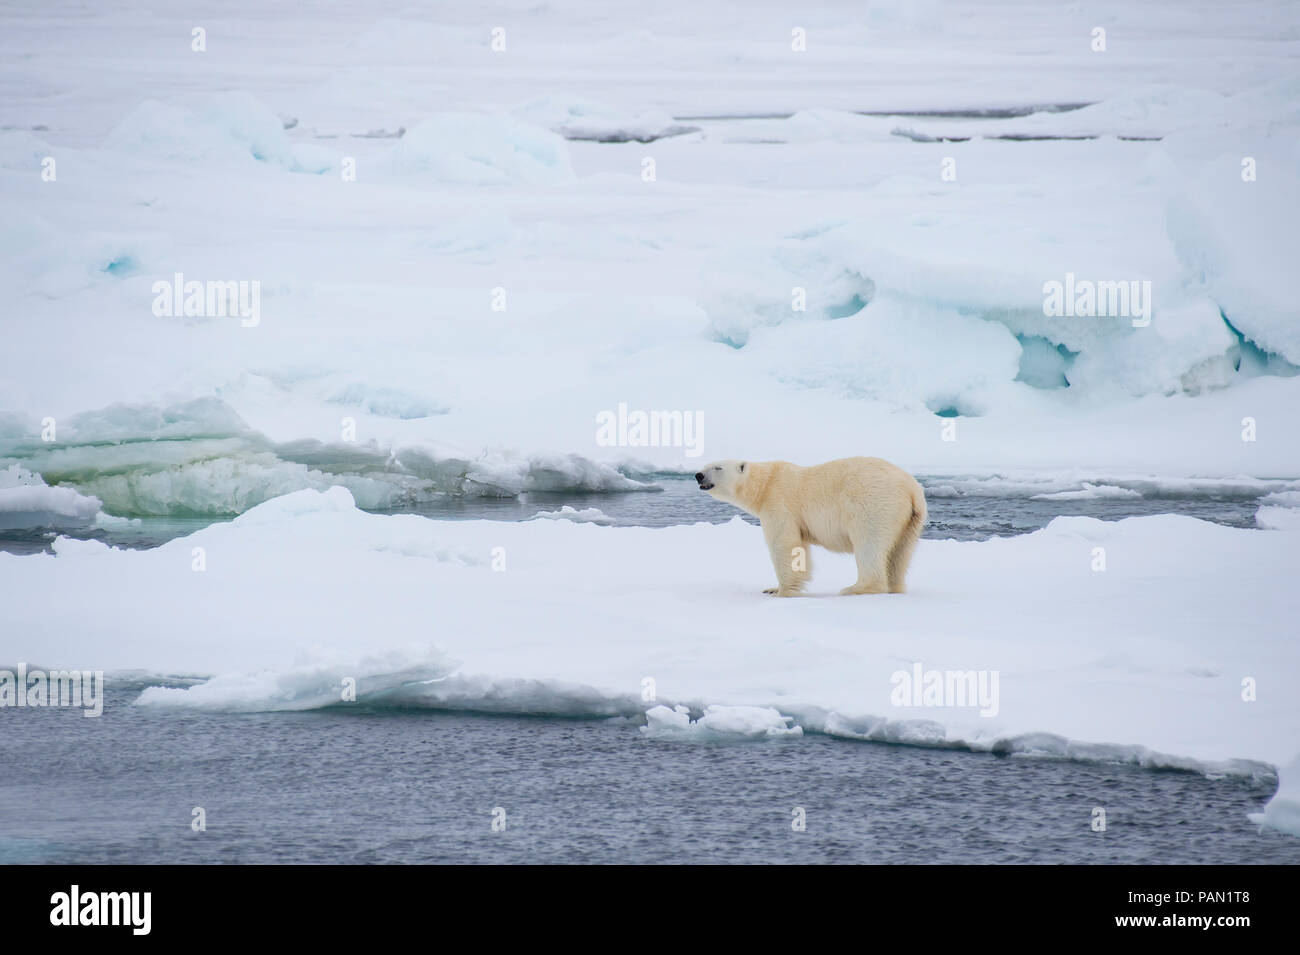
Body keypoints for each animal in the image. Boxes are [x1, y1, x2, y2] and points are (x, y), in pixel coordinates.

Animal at [696, 457, 930, 597]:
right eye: (706, 465)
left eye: (717, 467)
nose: (698, 475)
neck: (766, 483)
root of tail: (912, 490)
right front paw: (771, 589)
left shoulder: (780, 503)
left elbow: (784, 545)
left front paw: (783, 592)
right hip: (911, 520)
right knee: (900, 553)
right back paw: (895, 587)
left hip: (874, 504)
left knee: (869, 543)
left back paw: (855, 588)